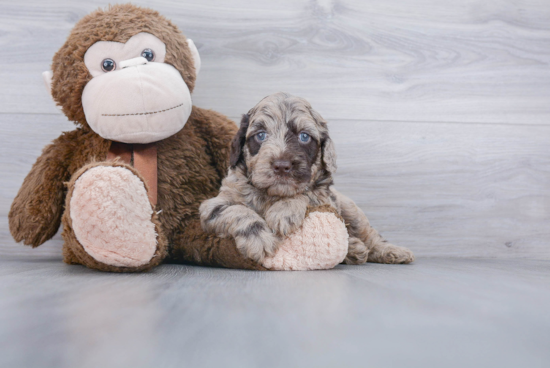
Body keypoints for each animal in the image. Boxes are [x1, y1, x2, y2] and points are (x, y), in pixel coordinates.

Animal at [201, 92, 416, 264]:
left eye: (304, 137)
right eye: (260, 135)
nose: (281, 166)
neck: (273, 195)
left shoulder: (326, 197)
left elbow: (307, 193)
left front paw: (284, 211)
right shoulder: (212, 206)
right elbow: (238, 211)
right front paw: (260, 239)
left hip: (352, 211)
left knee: (370, 236)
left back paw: (392, 251)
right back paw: (355, 249)